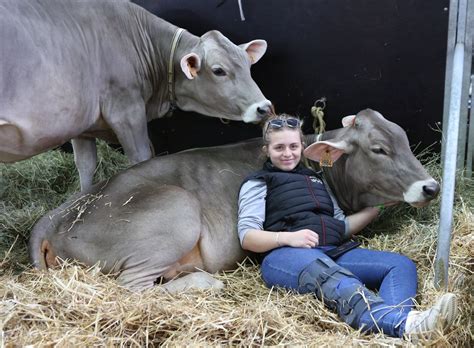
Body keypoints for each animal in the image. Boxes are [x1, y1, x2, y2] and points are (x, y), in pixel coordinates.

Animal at [27, 109, 438, 290]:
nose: (431, 187)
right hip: (175, 212)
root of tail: (55, 215)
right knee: (131, 287)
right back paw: (202, 283)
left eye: (405, 139)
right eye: (379, 149)